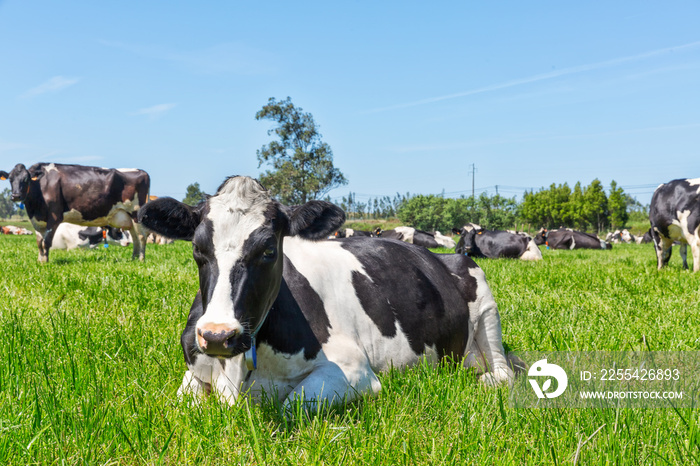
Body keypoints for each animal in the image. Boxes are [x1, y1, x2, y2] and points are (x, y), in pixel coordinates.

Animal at [0, 162, 149, 262]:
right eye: (10, 179)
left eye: (26, 179)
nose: (16, 196)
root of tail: (143, 172)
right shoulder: (37, 220)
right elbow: (39, 242)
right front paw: (40, 261)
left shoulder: (54, 217)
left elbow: (46, 242)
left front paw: (45, 263)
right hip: (129, 217)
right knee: (135, 236)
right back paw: (134, 258)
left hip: (136, 213)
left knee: (142, 237)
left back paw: (141, 259)